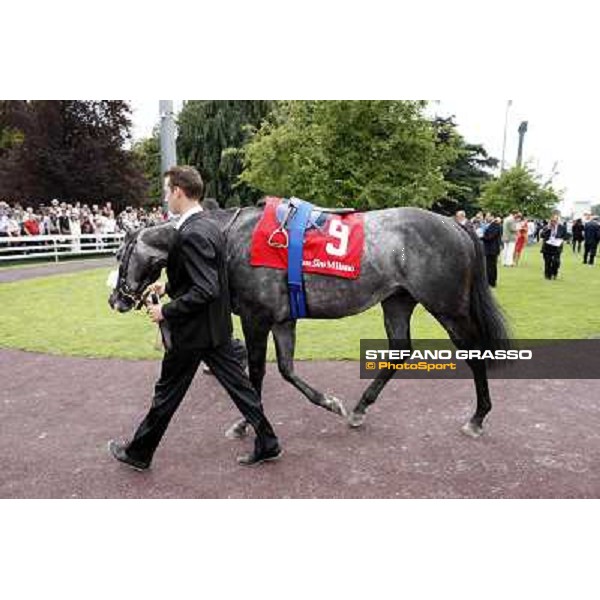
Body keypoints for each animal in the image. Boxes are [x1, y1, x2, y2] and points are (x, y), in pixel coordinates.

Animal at [109, 206, 510, 440]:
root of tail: (455, 225)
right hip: (397, 300)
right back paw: (360, 408)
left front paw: (245, 424)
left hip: (447, 307)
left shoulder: (257, 318)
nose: (116, 300)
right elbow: (287, 369)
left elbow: (256, 373)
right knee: (399, 351)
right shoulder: (283, 319)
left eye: (118, 254)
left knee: (473, 353)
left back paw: (478, 417)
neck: (229, 239)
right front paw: (330, 403)